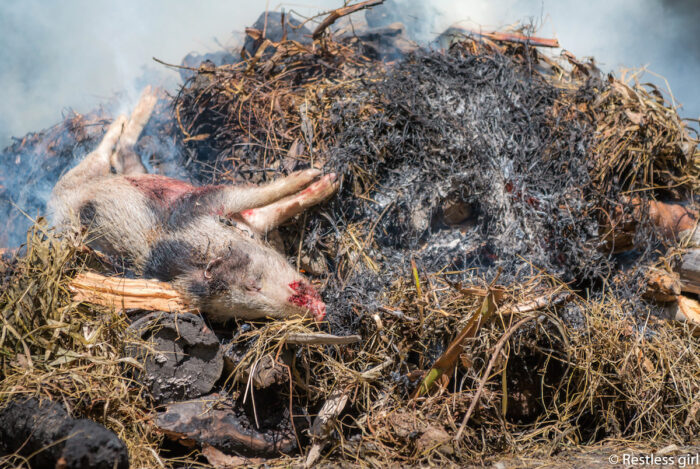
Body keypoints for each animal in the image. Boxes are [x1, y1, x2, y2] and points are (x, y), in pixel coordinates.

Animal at [49, 87, 338, 322]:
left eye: (253, 283)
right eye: (251, 293)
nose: (322, 312)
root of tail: (54, 207)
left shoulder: (204, 203)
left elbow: (265, 200)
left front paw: (322, 176)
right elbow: (267, 202)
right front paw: (327, 178)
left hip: (116, 172)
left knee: (119, 150)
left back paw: (144, 99)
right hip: (80, 179)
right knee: (106, 150)